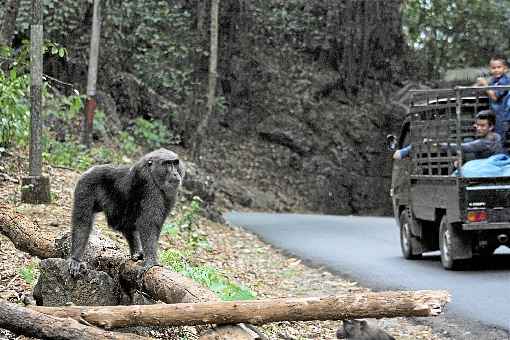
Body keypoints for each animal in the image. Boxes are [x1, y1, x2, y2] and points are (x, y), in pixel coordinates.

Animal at [68, 148, 185, 276]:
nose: (175, 173)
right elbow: (148, 224)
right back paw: (76, 257)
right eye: (168, 164)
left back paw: (136, 252)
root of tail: (90, 169)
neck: (151, 171)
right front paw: (151, 261)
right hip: (86, 183)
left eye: (175, 163)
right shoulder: (149, 184)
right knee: (82, 222)